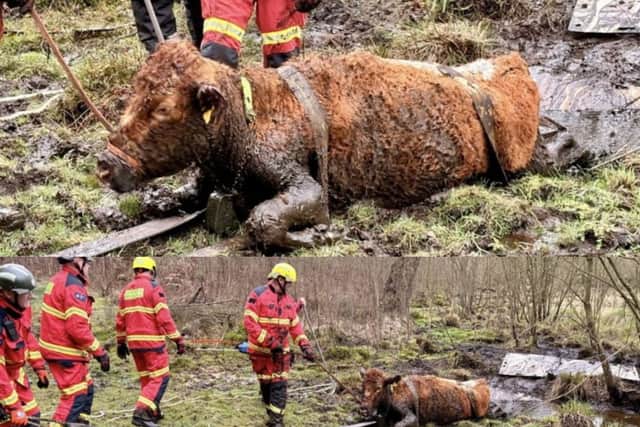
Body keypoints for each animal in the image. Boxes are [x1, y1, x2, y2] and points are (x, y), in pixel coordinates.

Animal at [96, 41, 539, 249]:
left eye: (163, 109)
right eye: (135, 90)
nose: (106, 163)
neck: (244, 118)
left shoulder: (304, 184)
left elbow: (261, 219)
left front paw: (313, 236)